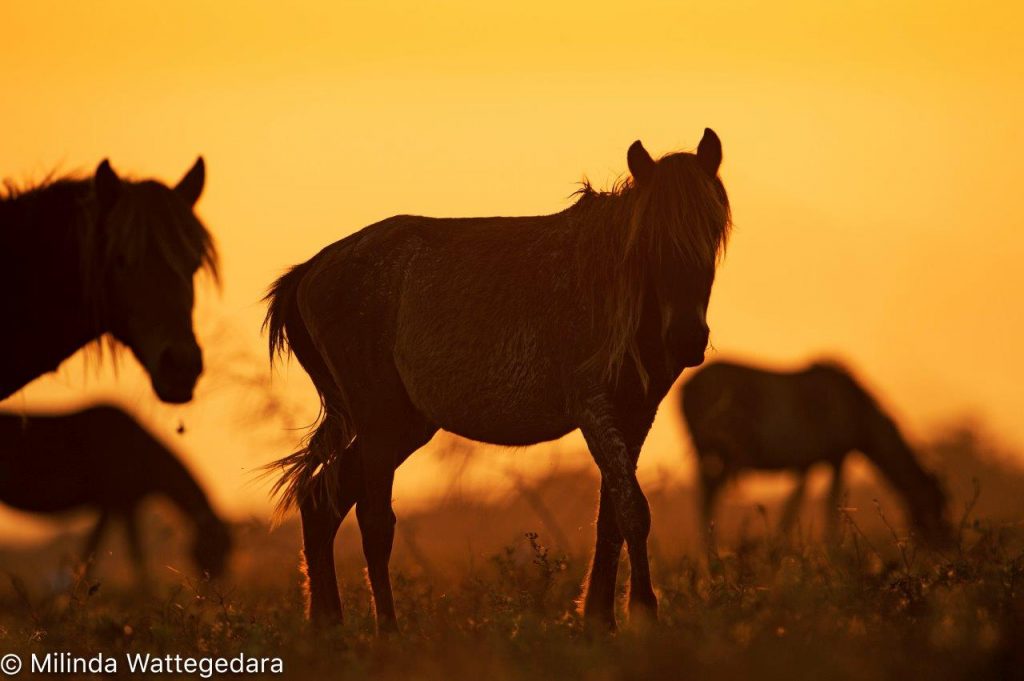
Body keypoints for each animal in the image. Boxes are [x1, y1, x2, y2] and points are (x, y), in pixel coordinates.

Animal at [0, 403, 232, 577]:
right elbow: (117, 552)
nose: (213, 583)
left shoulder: (125, 505)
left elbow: (120, 551)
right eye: (214, 548)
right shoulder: (112, 501)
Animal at [262, 129, 729, 630]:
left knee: (320, 502)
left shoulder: (637, 411)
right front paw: (642, 615)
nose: (687, 338)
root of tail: (311, 269)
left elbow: (613, 516)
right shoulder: (594, 407)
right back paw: (387, 630)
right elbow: (633, 510)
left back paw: (326, 625)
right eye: (648, 239)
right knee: (373, 520)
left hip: (403, 425)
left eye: (713, 228)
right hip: (379, 423)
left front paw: (600, 619)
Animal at [679, 360, 950, 548]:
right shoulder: (837, 457)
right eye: (935, 504)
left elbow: (791, 510)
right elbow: (830, 508)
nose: (945, 544)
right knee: (706, 498)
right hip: (715, 453)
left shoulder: (807, 464)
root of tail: (684, 390)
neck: (859, 412)